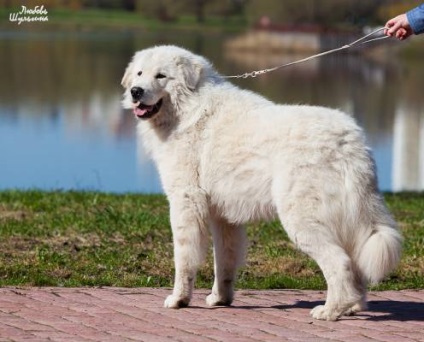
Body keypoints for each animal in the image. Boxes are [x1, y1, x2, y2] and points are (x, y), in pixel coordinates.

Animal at [121, 44, 402, 320]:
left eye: (161, 76)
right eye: (139, 74)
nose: (136, 91)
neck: (188, 110)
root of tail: (350, 141)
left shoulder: (185, 203)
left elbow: (184, 259)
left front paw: (179, 299)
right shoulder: (223, 217)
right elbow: (224, 262)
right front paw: (220, 299)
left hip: (302, 218)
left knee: (340, 263)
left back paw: (331, 310)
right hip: (347, 220)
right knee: (354, 265)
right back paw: (353, 306)